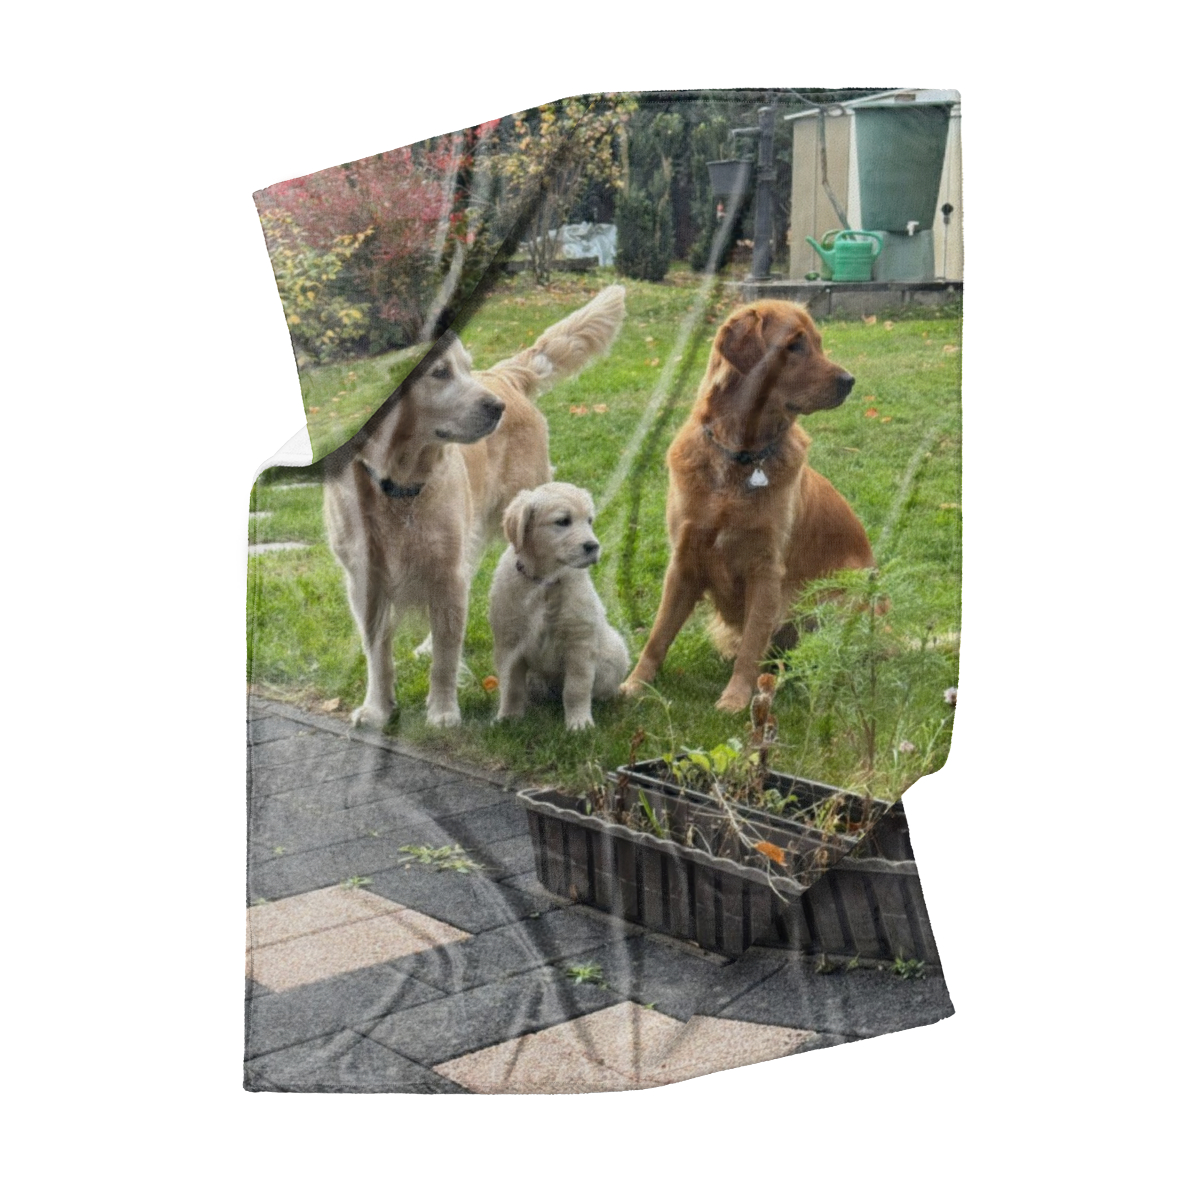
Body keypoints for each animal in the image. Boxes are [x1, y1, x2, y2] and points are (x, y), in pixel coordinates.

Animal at [489, 482, 629, 731]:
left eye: (589, 521)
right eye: (563, 521)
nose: (593, 546)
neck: (544, 583)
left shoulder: (579, 643)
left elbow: (576, 689)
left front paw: (579, 724)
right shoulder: (509, 643)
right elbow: (512, 686)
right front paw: (508, 718)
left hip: (614, 654)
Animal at [620, 299, 874, 712]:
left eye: (818, 343)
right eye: (795, 345)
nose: (849, 381)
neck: (741, 458)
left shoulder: (766, 570)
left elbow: (753, 644)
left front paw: (737, 697)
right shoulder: (684, 560)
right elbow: (658, 635)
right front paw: (635, 685)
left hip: (840, 597)